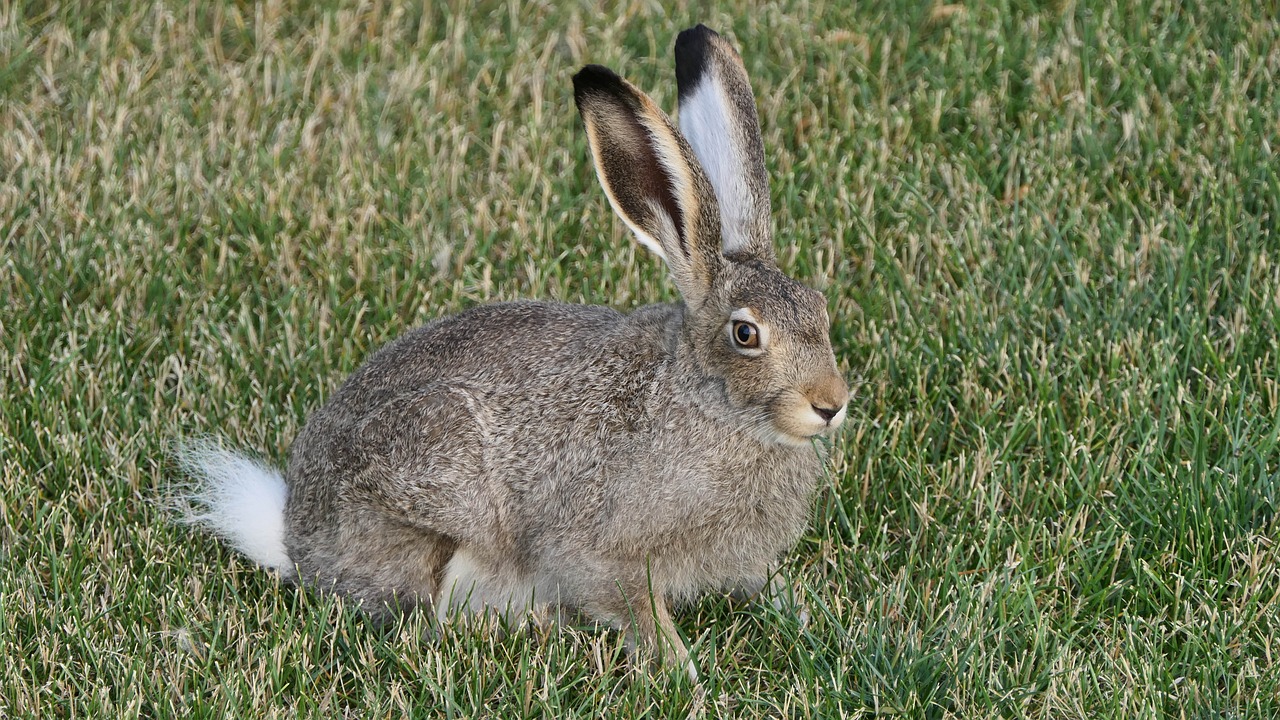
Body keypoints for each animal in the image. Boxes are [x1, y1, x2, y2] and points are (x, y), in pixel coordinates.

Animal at [175, 22, 844, 671]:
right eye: (746, 334)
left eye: (820, 308)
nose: (831, 404)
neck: (710, 402)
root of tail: (296, 537)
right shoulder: (601, 549)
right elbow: (634, 605)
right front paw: (683, 671)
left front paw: (805, 614)